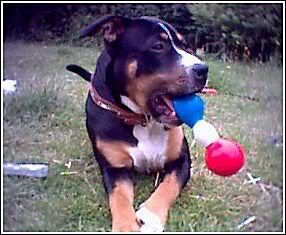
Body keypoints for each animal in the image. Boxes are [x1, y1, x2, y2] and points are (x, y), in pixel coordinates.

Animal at [66, 15, 208, 232]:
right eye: (158, 46)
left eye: (185, 46)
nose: (203, 69)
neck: (142, 120)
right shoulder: (115, 169)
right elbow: (119, 197)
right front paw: (125, 226)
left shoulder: (182, 160)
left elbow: (170, 185)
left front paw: (151, 214)